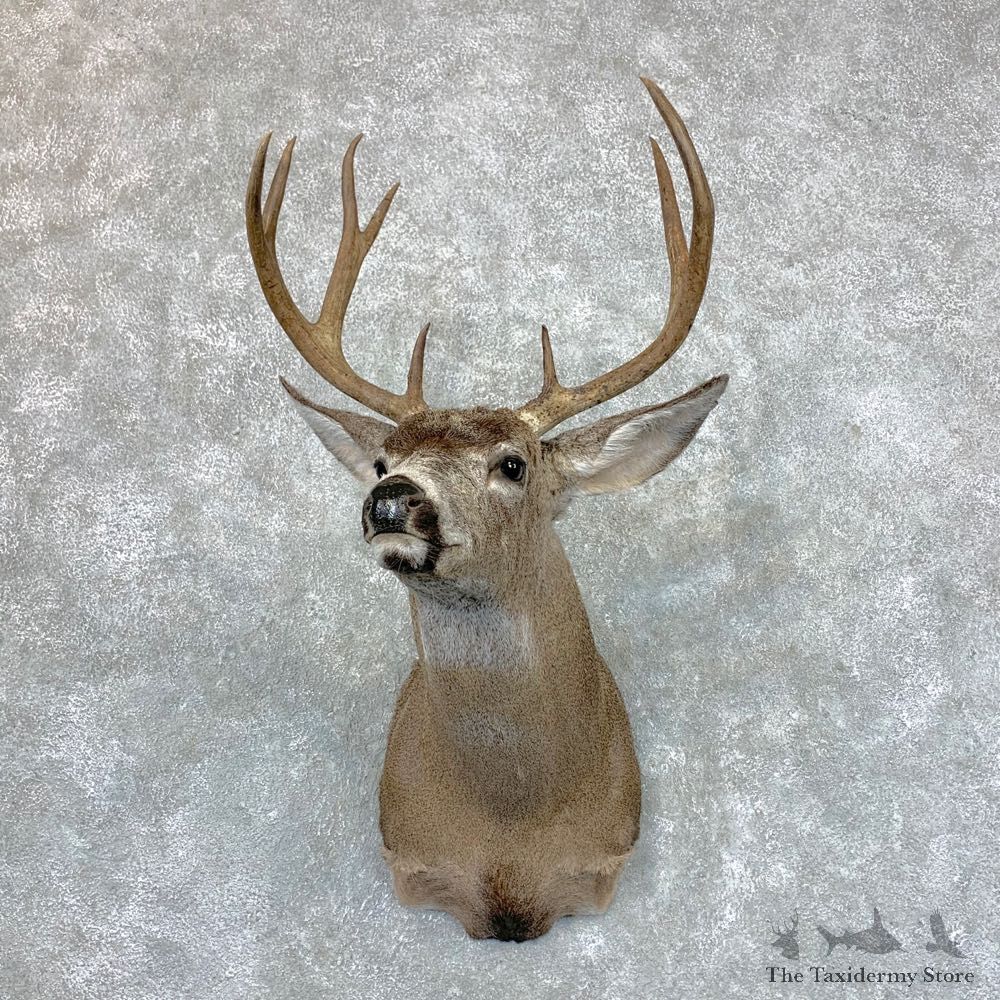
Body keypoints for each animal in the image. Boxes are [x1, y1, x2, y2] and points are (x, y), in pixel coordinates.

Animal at [245, 77, 727, 942]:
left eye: (512, 464)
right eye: (383, 460)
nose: (391, 500)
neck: (509, 829)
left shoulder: (602, 863)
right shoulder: (410, 859)